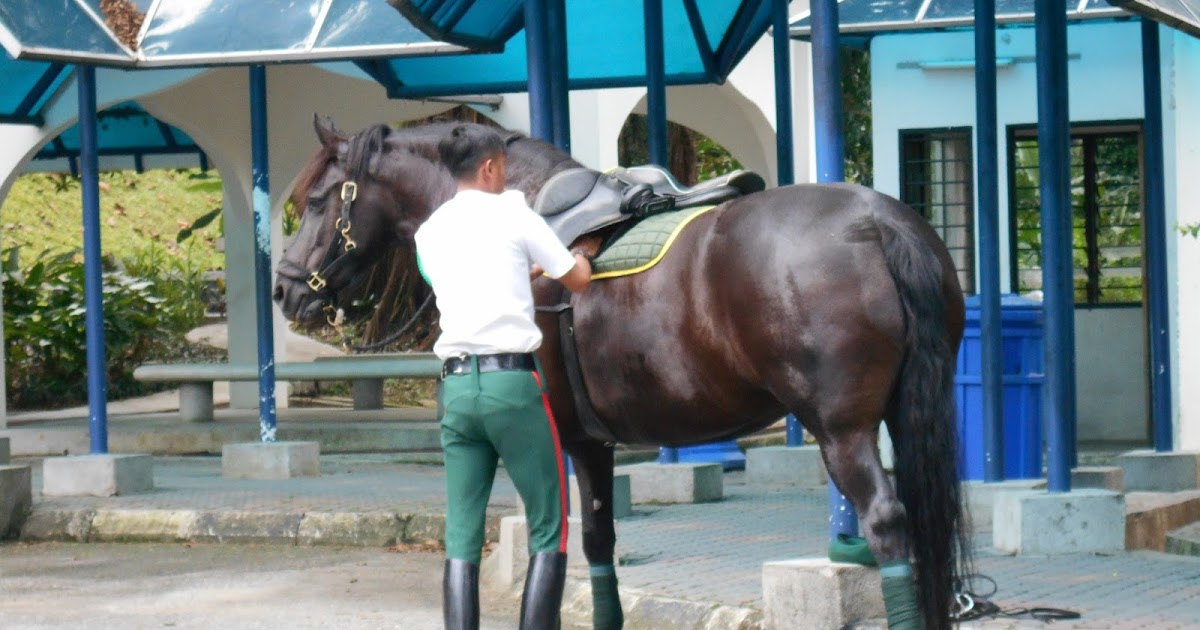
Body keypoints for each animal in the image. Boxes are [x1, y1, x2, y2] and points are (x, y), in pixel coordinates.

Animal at [274, 118, 968, 630]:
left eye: (317, 201)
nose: (285, 290)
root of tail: (879, 222)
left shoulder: (560, 438)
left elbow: (564, 550)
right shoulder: (594, 442)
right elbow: (601, 544)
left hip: (841, 432)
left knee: (887, 523)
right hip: (904, 414)